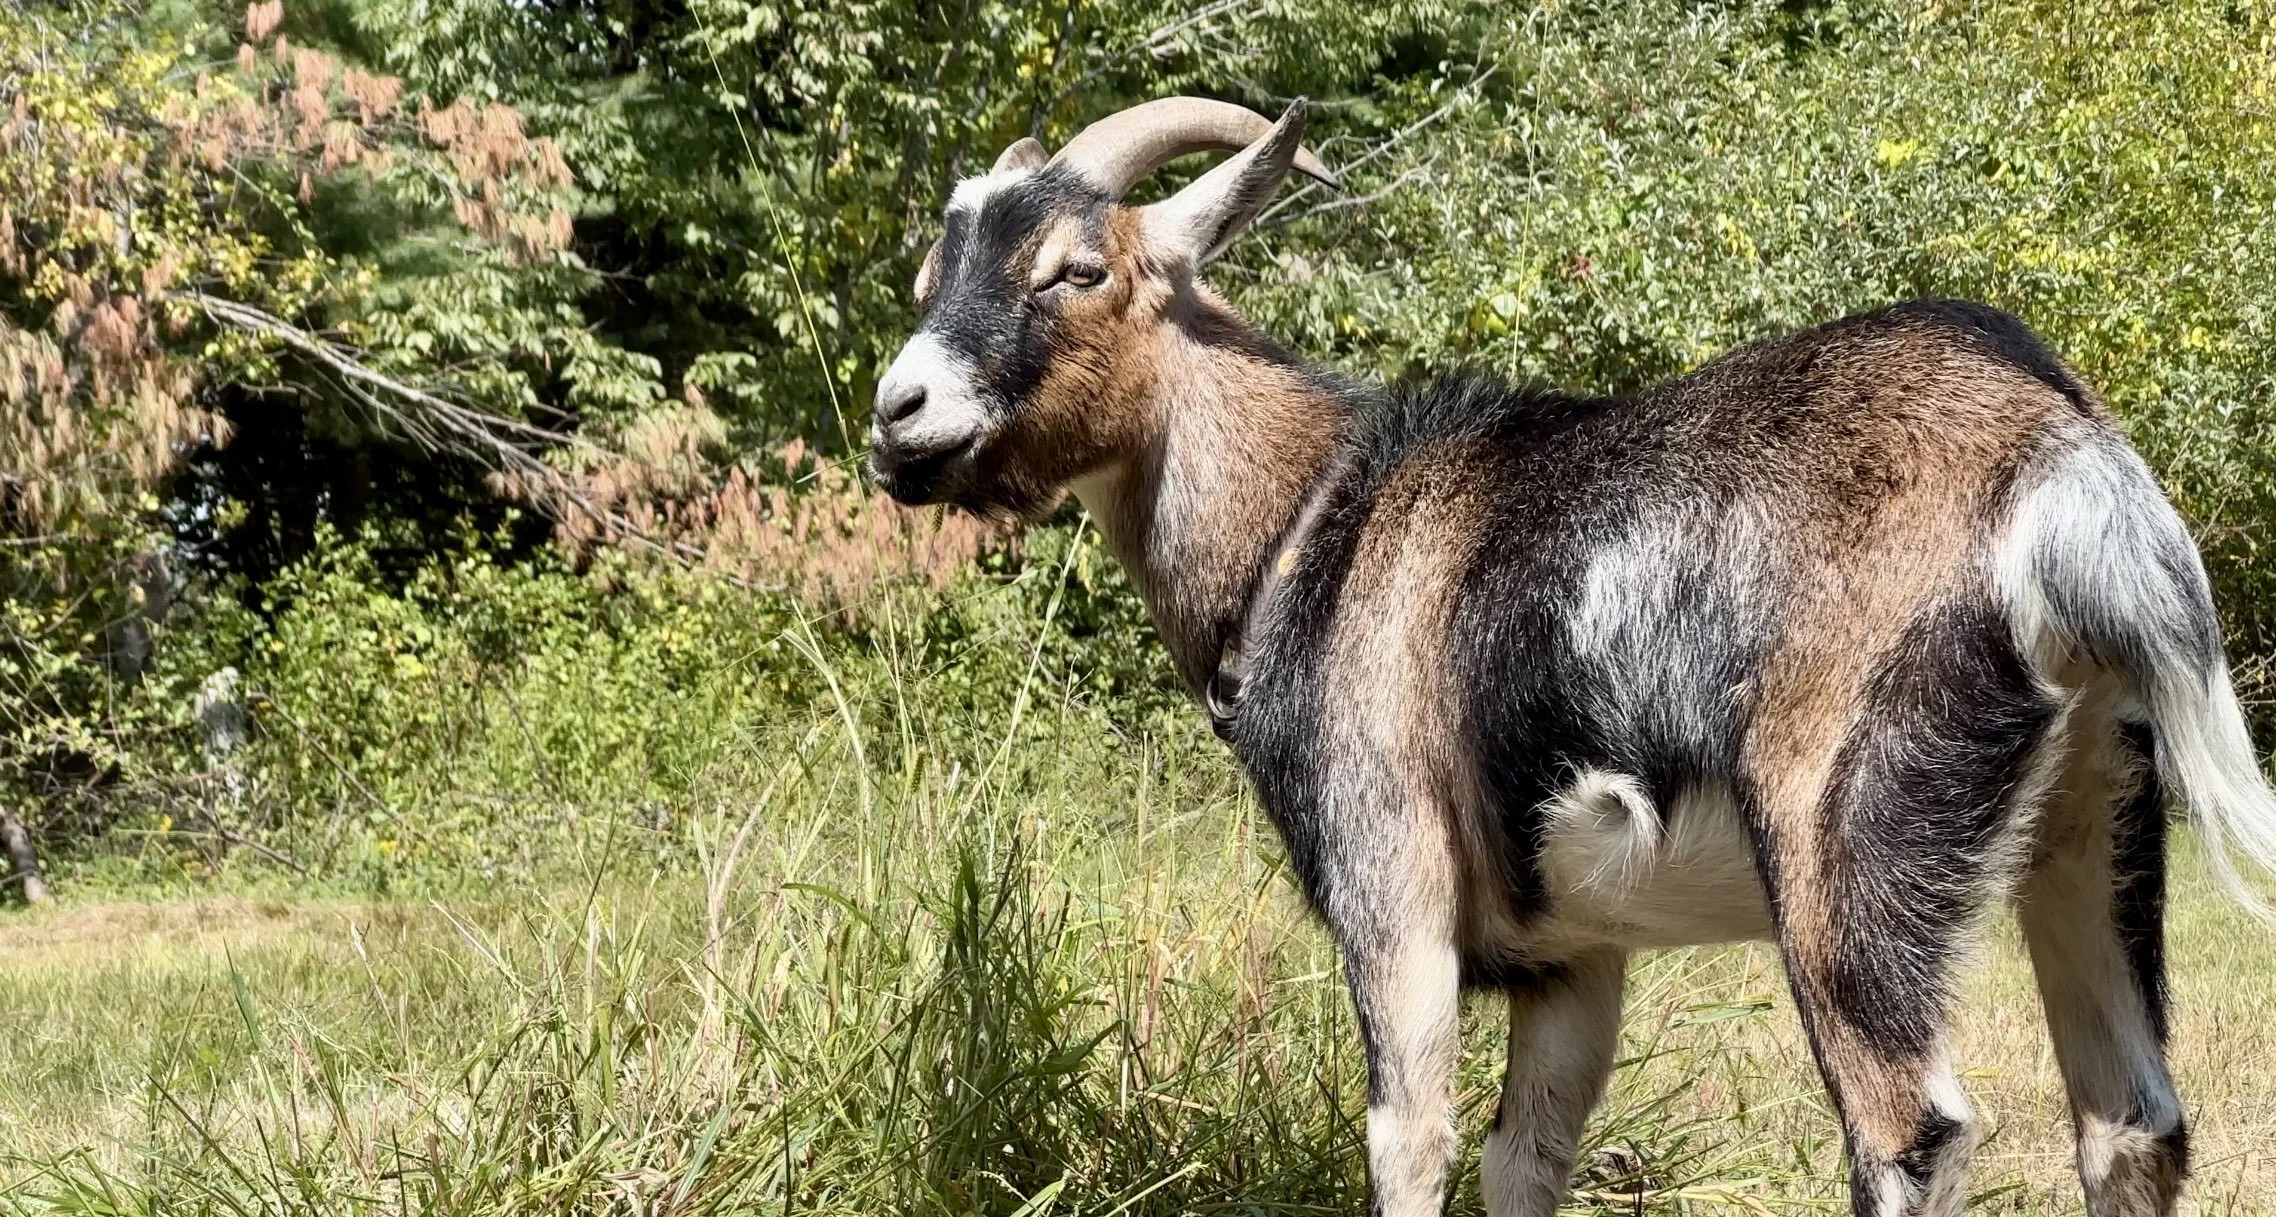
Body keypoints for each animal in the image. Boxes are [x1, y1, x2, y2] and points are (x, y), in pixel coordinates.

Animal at [867, 97, 2276, 1217]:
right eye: (933, 270)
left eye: (1076, 269)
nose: (898, 416)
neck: (1313, 522)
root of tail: (2062, 463)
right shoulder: (1570, 955)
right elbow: (1523, 1154)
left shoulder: (1390, 879)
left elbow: (1410, 1139)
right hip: (2094, 812)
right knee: (2129, 1125)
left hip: (1848, 836)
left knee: (1909, 1135)